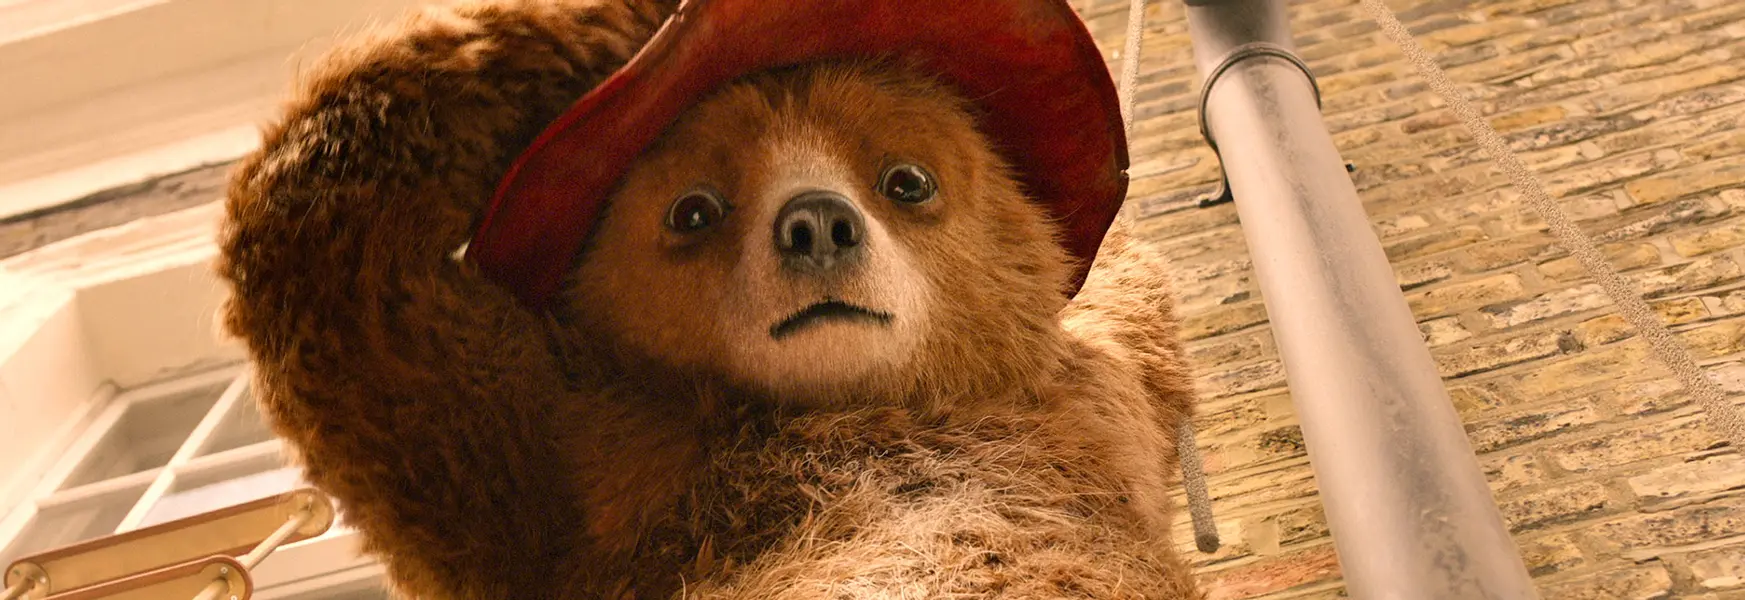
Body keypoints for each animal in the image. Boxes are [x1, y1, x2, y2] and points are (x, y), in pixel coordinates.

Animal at [217, 0, 1204, 597]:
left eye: (907, 179)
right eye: (692, 208)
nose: (816, 222)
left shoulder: (1098, 396)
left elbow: (1132, 320)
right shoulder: (549, 474)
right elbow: (352, 303)